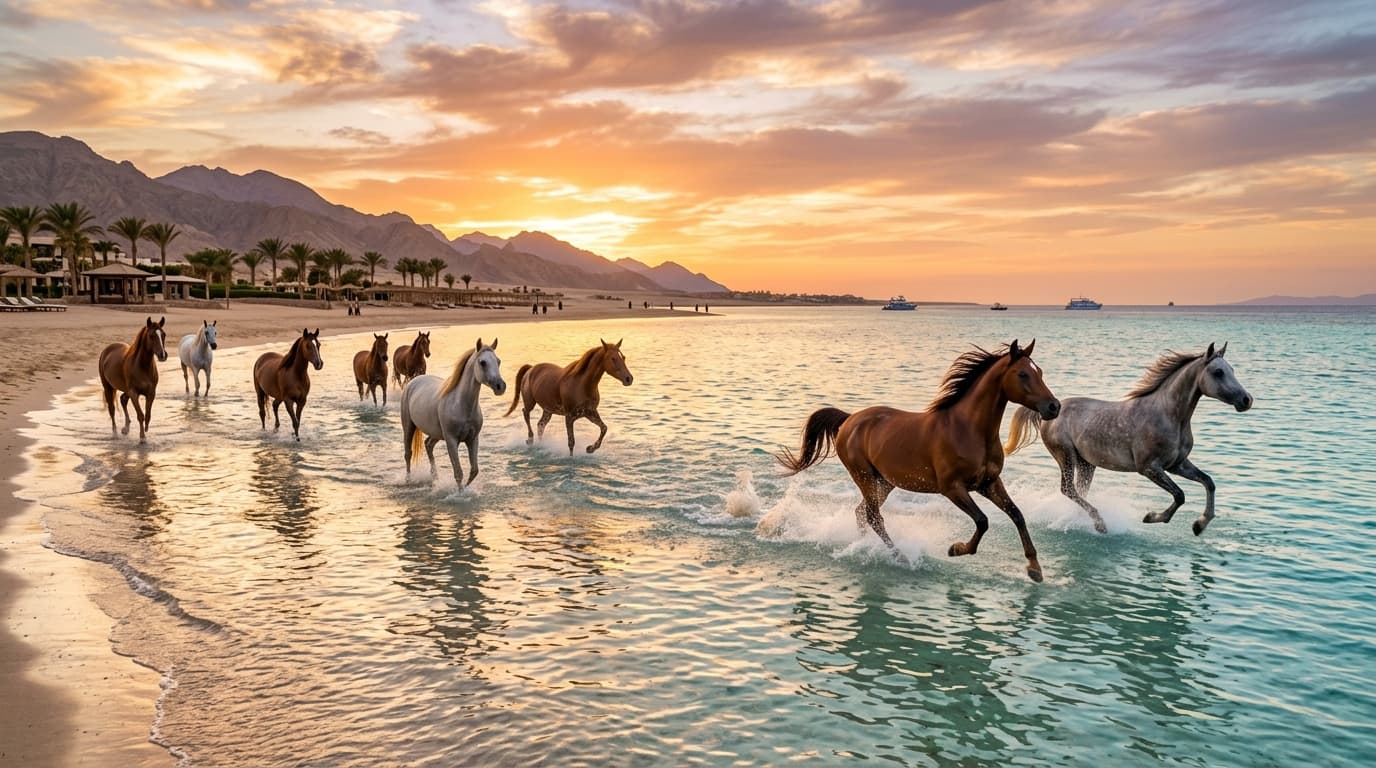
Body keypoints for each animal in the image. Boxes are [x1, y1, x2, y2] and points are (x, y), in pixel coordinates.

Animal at [400, 338, 505, 487]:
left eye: (498, 361)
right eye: (482, 362)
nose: (500, 386)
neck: (461, 405)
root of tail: (413, 382)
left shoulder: (473, 439)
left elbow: (474, 470)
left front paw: (466, 488)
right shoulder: (451, 440)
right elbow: (458, 473)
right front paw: (460, 491)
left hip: (436, 433)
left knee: (428, 445)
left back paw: (435, 477)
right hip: (409, 427)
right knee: (408, 453)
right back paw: (408, 480)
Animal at [504, 339, 634, 455]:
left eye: (623, 357)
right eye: (613, 358)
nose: (629, 379)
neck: (582, 384)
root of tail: (530, 369)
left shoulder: (590, 413)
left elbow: (604, 428)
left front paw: (590, 449)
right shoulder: (569, 417)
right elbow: (571, 442)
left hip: (548, 410)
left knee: (540, 425)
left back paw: (539, 445)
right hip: (530, 402)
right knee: (525, 413)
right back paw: (530, 439)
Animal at [777, 340, 1060, 582]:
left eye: (1040, 372)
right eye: (1023, 374)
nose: (1053, 406)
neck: (968, 430)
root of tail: (849, 419)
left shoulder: (989, 483)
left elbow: (1017, 515)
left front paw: (1035, 569)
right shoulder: (952, 488)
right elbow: (983, 521)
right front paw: (956, 549)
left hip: (885, 482)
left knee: (861, 513)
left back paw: (863, 546)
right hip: (863, 476)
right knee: (873, 516)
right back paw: (899, 556)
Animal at [1005, 342, 1252, 536]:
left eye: (1232, 369)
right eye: (1218, 372)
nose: (1246, 400)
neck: (1169, 415)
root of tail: (1048, 411)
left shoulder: (1177, 465)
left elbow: (1208, 482)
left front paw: (1199, 526)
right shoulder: (1149, 468)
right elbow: (1180, 495)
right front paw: (1151, 517)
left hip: (1086, 463)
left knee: (1078, 491)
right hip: (1065, 455)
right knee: (1068, 489)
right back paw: (1100, 524)